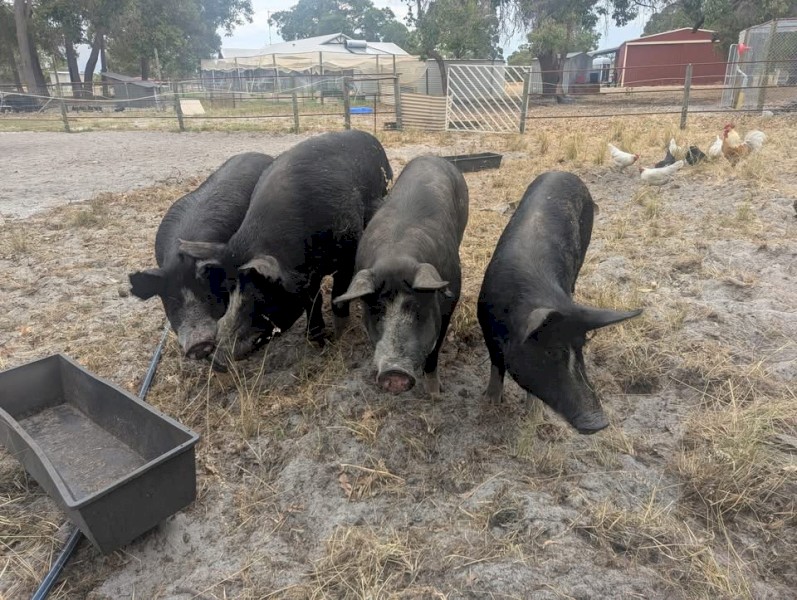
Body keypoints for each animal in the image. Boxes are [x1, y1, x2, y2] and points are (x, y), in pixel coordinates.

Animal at [179, 130, 393, 360]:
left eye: (260, 298)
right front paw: (317, 340)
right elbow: (312, 301)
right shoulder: (305, 277)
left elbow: (337, 295)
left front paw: (340, 336)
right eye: (227, 291)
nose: (216, 357)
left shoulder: (347, 254)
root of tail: (369, 136)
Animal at [333, 155, 469, 395]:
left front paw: (434, 393)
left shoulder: (450, 300)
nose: (394, 372)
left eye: (416, 308)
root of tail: (433, 156)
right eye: (377, 310)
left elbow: (435, 349)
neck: (396, 254)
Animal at [477, 171, 642, 434]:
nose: (599, 423)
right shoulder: (485, 322)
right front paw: (490, 403)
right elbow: (496, 365)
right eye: (551, 351)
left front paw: (532, 415)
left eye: (582, 346)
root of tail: (563, 173)